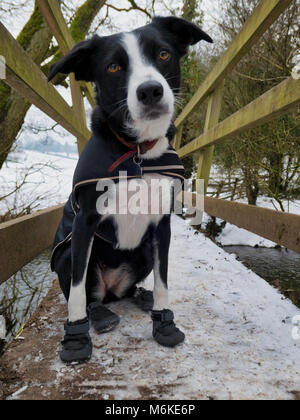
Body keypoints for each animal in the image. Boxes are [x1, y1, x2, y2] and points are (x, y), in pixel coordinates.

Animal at [48, 17, 212, 364]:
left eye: (163, 54)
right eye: (113, 67)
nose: (150, 90)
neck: (137, 152)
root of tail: (110, 290)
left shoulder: (161, 225)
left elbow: (163, 283)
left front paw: (164, 322)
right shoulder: (85, 222)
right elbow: (77, 293)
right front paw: (75, 339)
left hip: (143, 253)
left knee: (127, 289)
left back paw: (139, 295)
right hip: (68, 254)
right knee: (91, 295)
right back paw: (100, 315)